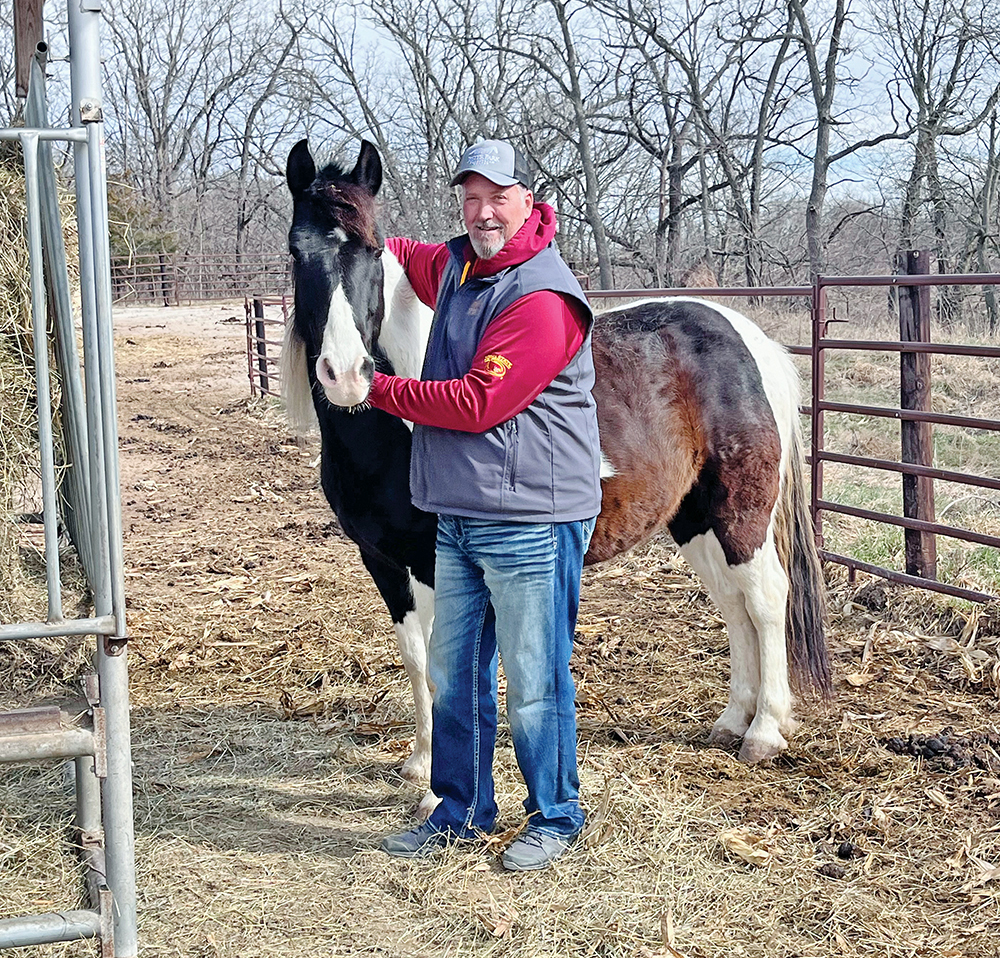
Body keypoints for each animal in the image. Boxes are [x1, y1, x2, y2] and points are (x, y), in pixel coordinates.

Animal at [281, 138, 829, 804]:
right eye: (296, 251)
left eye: (371, 249)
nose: (345, 374)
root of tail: (748, 336)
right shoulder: (383, 560)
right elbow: (416, 658)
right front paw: (420, 764)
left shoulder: (437, 558)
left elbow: (444, 661)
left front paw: (441, 786)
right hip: (694, 517)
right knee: (734, 602)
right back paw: (733, 721)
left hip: (739, 510)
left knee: (767, 597)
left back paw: (765, 732)